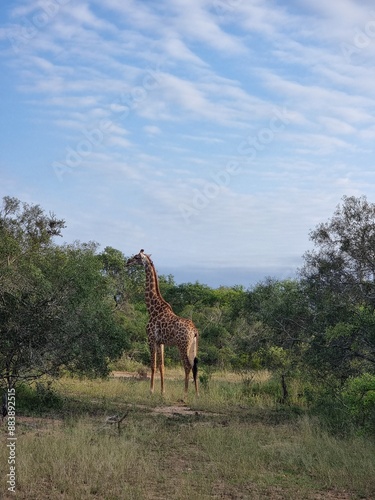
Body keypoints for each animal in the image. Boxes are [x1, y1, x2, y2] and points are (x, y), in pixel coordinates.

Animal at [126, 248, 200, 396]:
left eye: (136, 257)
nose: (127, 262)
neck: (152, 308)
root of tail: (194, 330)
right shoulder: (161, 342)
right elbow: (162, 366)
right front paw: (162, 391)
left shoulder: (151, 339)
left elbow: (153, 365)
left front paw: (151, 390)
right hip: (193, 346)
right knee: (195, 366)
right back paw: (197, 393)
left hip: (182, 345)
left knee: (187, 366)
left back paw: (184, 394)